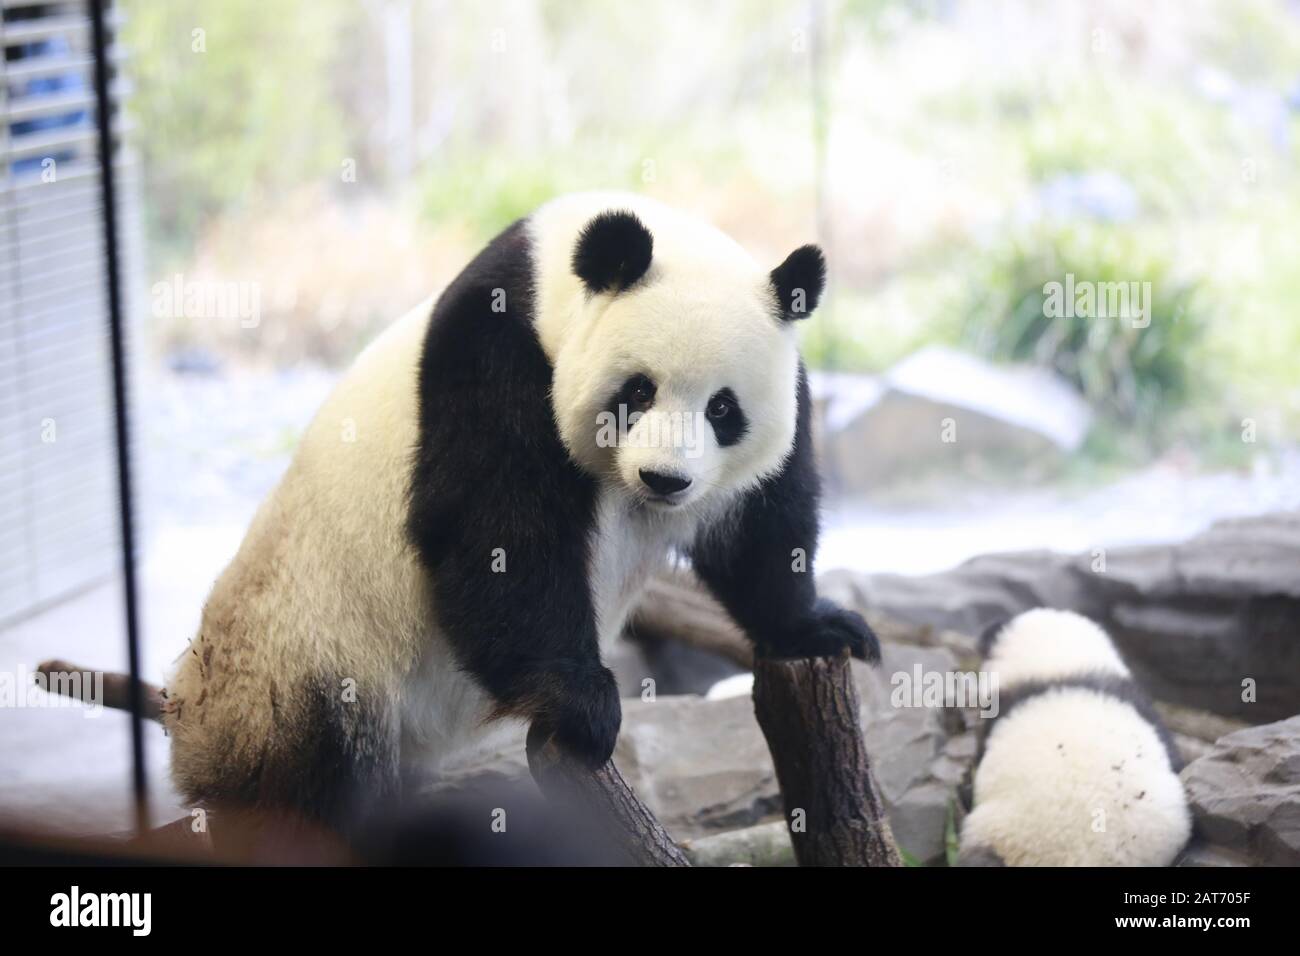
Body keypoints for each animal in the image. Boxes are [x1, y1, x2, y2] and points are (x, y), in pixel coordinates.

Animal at [159, 192, 873, 832]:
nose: (664, 479)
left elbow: (762, 524)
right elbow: (496, 530)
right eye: (639, 390)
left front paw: (819, 627)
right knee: (316, 763)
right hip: (305, 651)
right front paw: (583, 702)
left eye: (723, 408)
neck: (546, 273)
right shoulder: (493, 350)